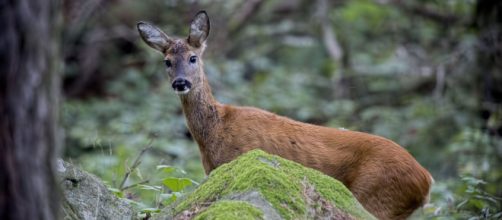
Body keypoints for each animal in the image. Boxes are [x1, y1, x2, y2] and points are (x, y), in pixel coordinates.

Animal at [136, 10, 432, 220]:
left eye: (193, 57)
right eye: (167, 61)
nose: (180, 82)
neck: (215, 130)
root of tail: (426, 179)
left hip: (377, 196)